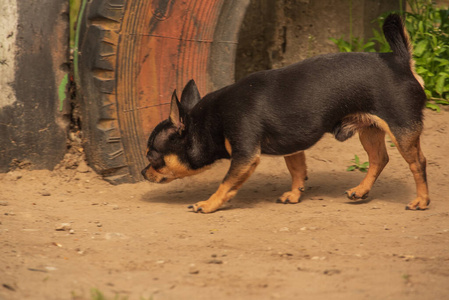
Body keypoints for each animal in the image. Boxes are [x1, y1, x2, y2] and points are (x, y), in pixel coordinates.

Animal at [142, 15, 428, 213]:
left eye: (153, 156)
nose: (144, 173)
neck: (210, 121)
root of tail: (400, 61)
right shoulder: (292, 146)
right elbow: (297, 170)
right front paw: (294, 194)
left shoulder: (245, 156)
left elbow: (225, 183)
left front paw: (208, 204)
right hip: (370, 130)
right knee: (379, 159)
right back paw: (361, 190)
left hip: (402, 130)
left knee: (418, 163)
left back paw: (422, 200)